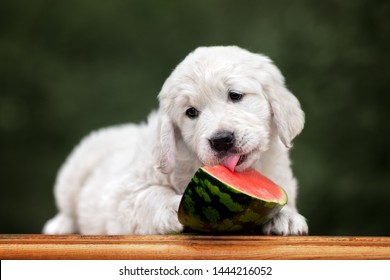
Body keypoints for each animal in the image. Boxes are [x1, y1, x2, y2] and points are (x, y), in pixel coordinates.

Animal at [43, 47, 308, 235]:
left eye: (235, 95)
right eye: (191, 112)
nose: (221, 140)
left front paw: (286, 217)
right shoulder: (125, 194)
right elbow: (150, 195)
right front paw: (173, 205)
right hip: (74, 170)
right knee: (67, 207)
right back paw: (60, 225)